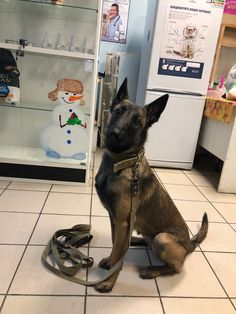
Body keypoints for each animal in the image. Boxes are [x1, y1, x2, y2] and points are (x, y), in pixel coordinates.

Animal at [94, 78, 208, 292]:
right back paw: (136, 240)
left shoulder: (122, 222)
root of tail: (189, 244)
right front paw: (110, 260)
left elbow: (118, 252)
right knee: (141, 241)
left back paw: (153, 270)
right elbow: (115, 246)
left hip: (162, 238)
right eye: (118, 111)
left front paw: (109, 281)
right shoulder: (115, 219)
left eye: (137, 122)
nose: (113, 133)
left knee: (176, 267)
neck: (120, 163)